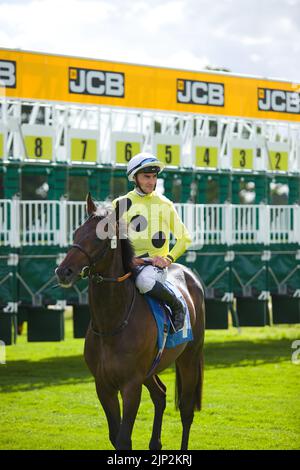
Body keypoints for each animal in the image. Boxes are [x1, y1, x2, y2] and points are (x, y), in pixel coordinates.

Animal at [55, 193, 206, 450]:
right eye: (76, 233)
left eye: (99, 238)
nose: (63, 271)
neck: (111, 325)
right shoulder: (103, 386)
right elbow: (115, 437)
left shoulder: (131, 385)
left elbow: (124, 438)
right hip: (150, 370)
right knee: (160, 395)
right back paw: (155, 443)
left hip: (189, 357)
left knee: (186, 411)